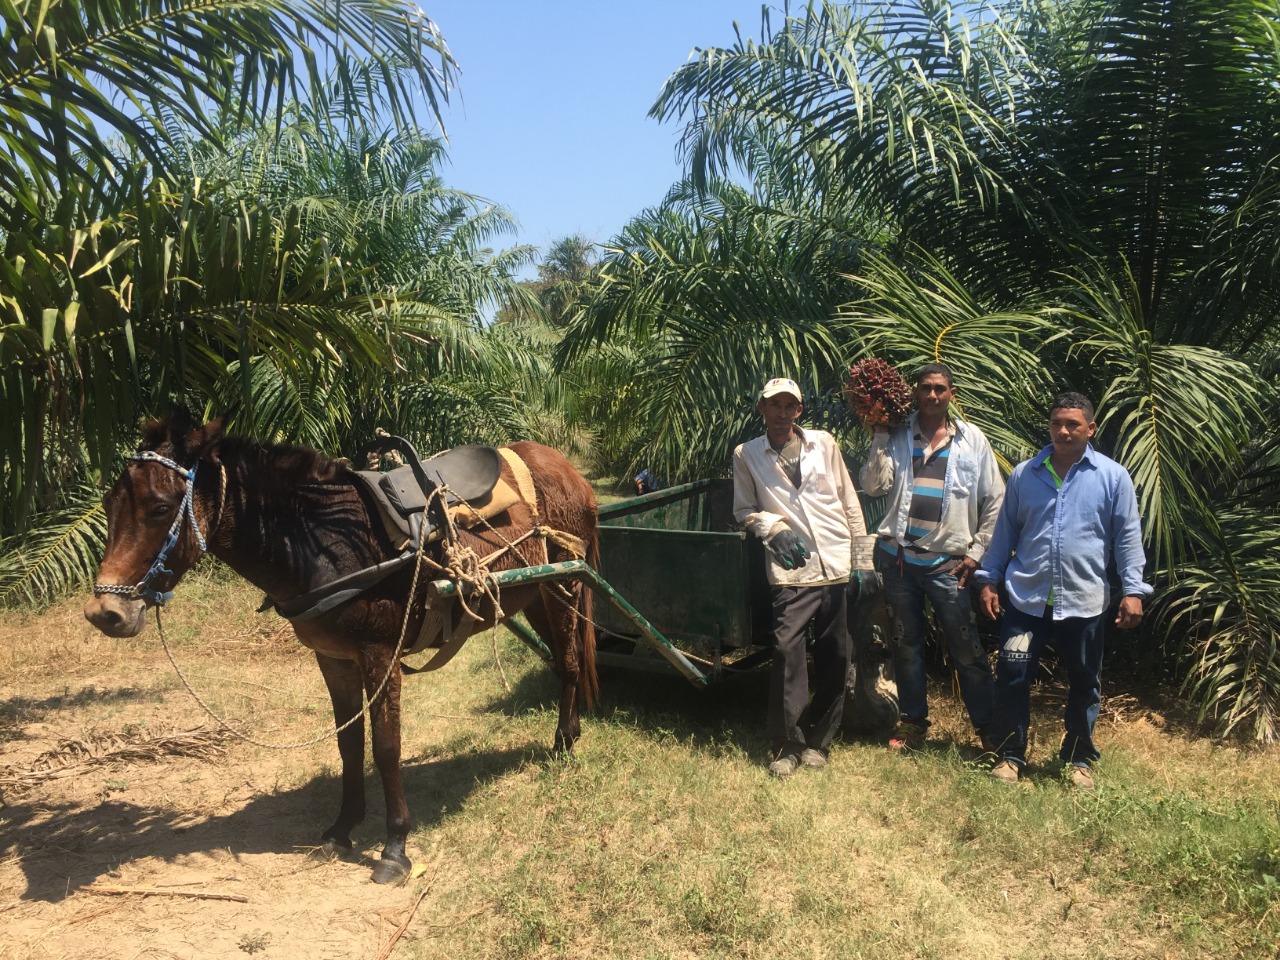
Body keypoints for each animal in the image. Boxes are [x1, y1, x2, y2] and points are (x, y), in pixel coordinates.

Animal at [85, 414, 593, 885]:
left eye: (159, 507)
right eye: (109, 504)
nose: (104, 613)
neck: (326, 544)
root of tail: (567, 468)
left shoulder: (380, 655)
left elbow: (386, 747)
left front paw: (395, 846)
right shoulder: (334, 659)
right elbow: (348, 743)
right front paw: (343, 828)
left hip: (563, 584)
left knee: (570, 660)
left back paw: (564, 741)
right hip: (535, 593)